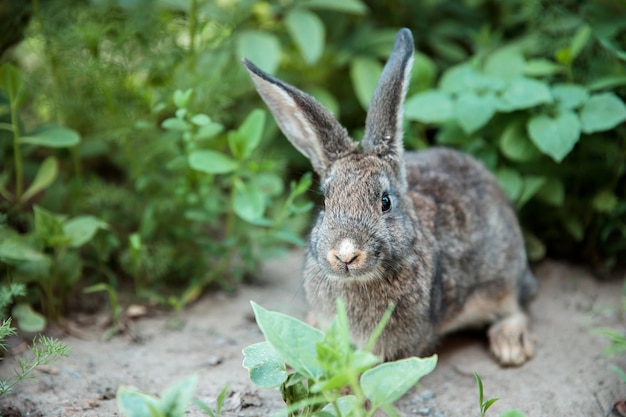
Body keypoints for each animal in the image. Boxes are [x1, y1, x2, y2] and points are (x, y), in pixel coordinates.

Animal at [241, 27, 532, 366]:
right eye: (325, 202)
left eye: (385, 202)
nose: (345, 255)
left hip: (503, 277)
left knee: (515, 308)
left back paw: (510, 347)